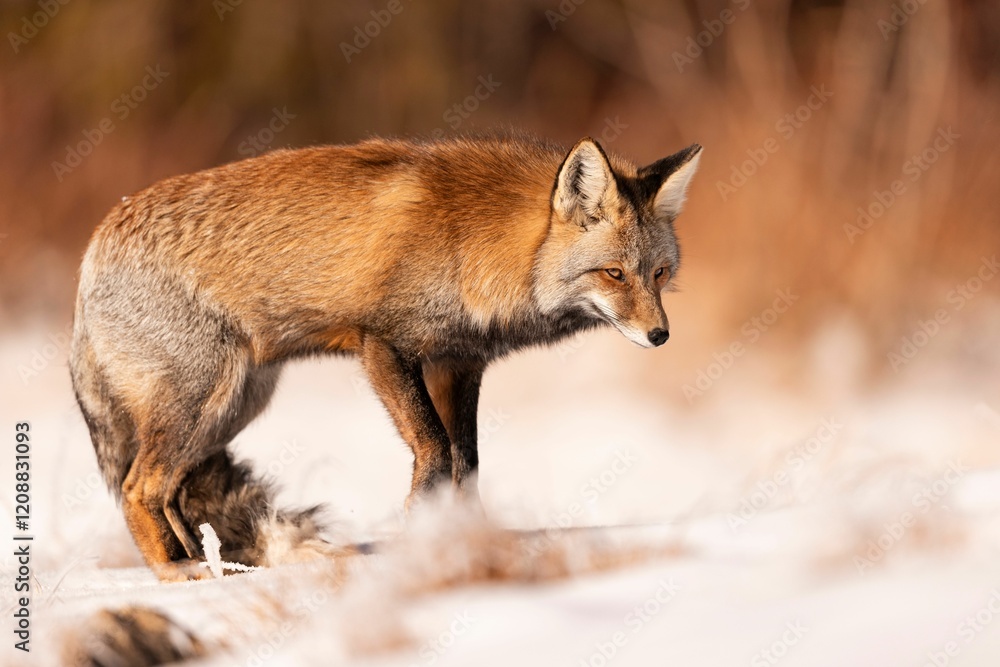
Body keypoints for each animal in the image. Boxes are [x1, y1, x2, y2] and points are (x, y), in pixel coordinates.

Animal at [69, 131, 701, 579]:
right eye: (614, 274)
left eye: (659, 273)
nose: (660, 335)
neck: (474, 241)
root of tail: (94, 246)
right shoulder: (383, 346)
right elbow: (437, 452)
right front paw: (420, 531)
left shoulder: (456, 363)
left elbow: (467, 464)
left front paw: (464, 540)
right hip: (204, 399)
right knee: (138, 489)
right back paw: (177, 570)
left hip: (233, 406)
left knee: (172, 493)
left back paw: (211, 563)